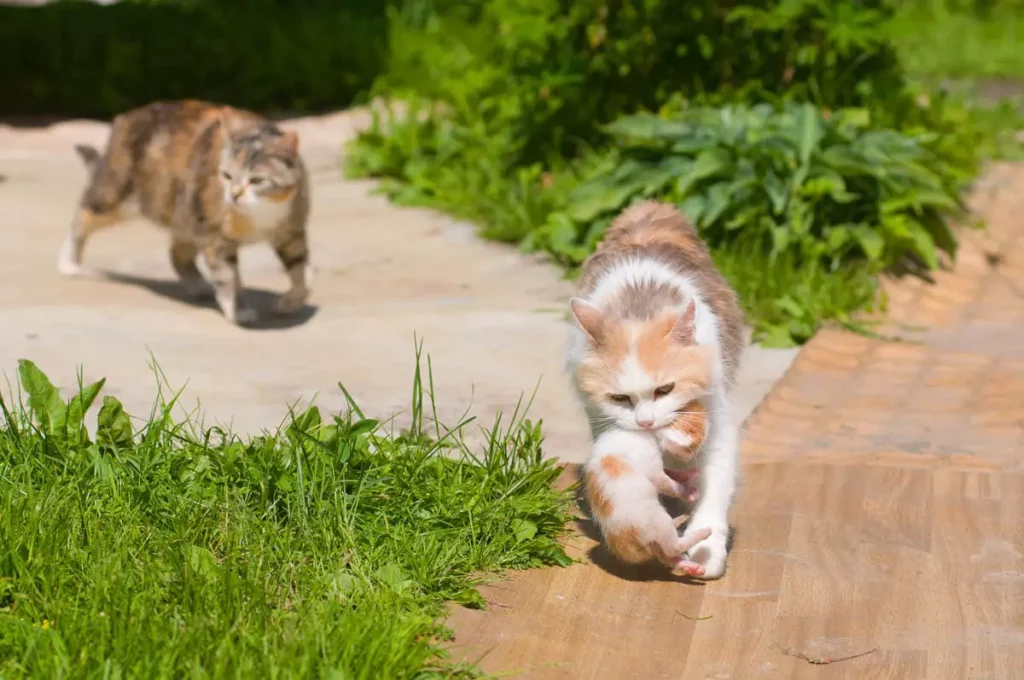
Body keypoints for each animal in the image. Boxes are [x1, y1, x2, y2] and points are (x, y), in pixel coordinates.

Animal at [56, 97, 309, 327]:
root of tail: (126, 116)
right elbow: (228, 275)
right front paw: (239, 310)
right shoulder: (215, 236)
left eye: (256, 180)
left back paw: (199, 285)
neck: (262, 212)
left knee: (177, 253)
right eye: (226, 176)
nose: (234, 195)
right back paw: (68, 262)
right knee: (83, 216)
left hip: (185, 212)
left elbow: (303, 273)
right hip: (118, 195)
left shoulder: (292, 232)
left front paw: (290, 302)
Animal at [585, 428, 712, 577]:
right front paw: (689, 493)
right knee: (672, 548)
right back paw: (703, 532)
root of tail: (623, 547)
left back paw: (692, 566)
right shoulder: (653, 470)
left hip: (653, 538)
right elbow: (670, 485)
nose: (694, 456)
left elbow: (671, 473)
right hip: (657, 519)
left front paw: (687, 474)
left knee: (664, 555)